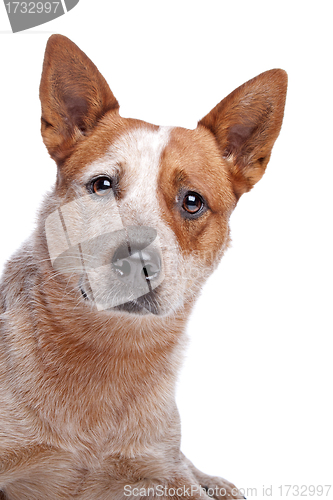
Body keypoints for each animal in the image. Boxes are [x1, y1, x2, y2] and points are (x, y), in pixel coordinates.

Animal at [0, 33, 286, 498]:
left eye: (192, 201)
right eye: (102, 185)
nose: (136, 261)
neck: (110, 352)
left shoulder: (163, 470)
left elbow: (182, 476)